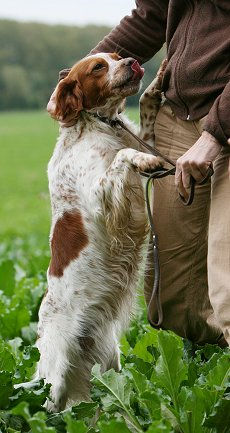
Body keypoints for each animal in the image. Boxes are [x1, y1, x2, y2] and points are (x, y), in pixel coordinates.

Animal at [36, 52, 165, 410]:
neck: (100, 125)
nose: (132, 61)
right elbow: (124, 156)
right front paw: (143, 160)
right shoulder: (98, 198)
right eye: (98, 67)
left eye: (118, 58)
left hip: (109, 364)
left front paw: (154, 90)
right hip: (53, 381)